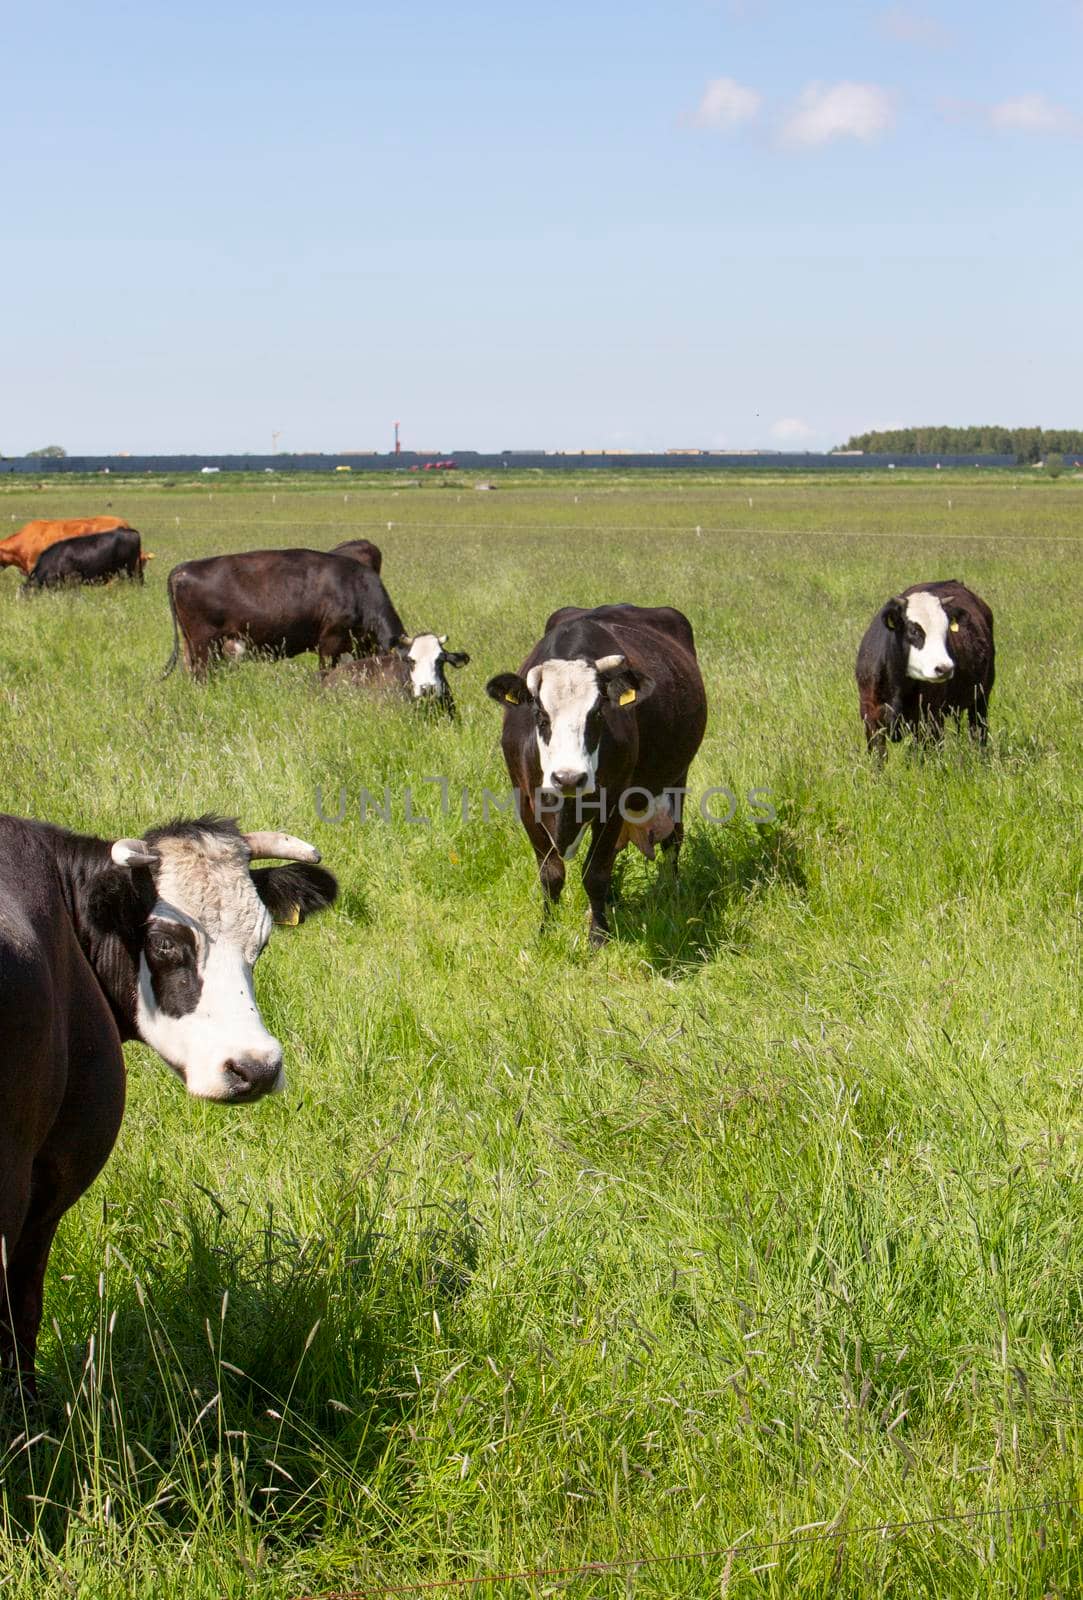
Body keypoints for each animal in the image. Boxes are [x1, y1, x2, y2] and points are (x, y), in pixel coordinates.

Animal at [483, 604, 703, 940]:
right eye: (540, 715)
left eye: (598, 713)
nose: (568, 778)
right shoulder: (524, 801)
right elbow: (550, 873)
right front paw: (546, 931)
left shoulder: (613, 801)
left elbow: (595, 872)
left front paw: (598, 936)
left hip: (677, 777)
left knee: (672, 841)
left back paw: (671, 892)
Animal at [851, 579, 998, 752]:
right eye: (914, 631)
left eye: (946, 631)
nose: (945, 668)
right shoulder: (871, 718)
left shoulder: (929, 718)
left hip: (981, 698)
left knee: (978, 733)